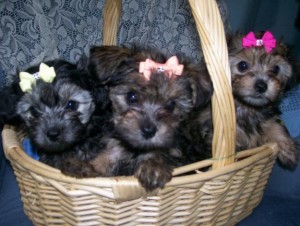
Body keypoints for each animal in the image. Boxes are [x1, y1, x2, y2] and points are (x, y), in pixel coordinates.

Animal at [86, 44, 213, 191]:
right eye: (132, 96)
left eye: (171, 105)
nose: (148, 131)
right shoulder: (115, 148)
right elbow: (104, 159)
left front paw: (153, 167)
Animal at [182, 30, 298, 169]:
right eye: (242, 65)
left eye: (276, 69)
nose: (261, 86)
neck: (246, 108)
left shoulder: (266, 119)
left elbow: (275, 126)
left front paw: (288, 150)